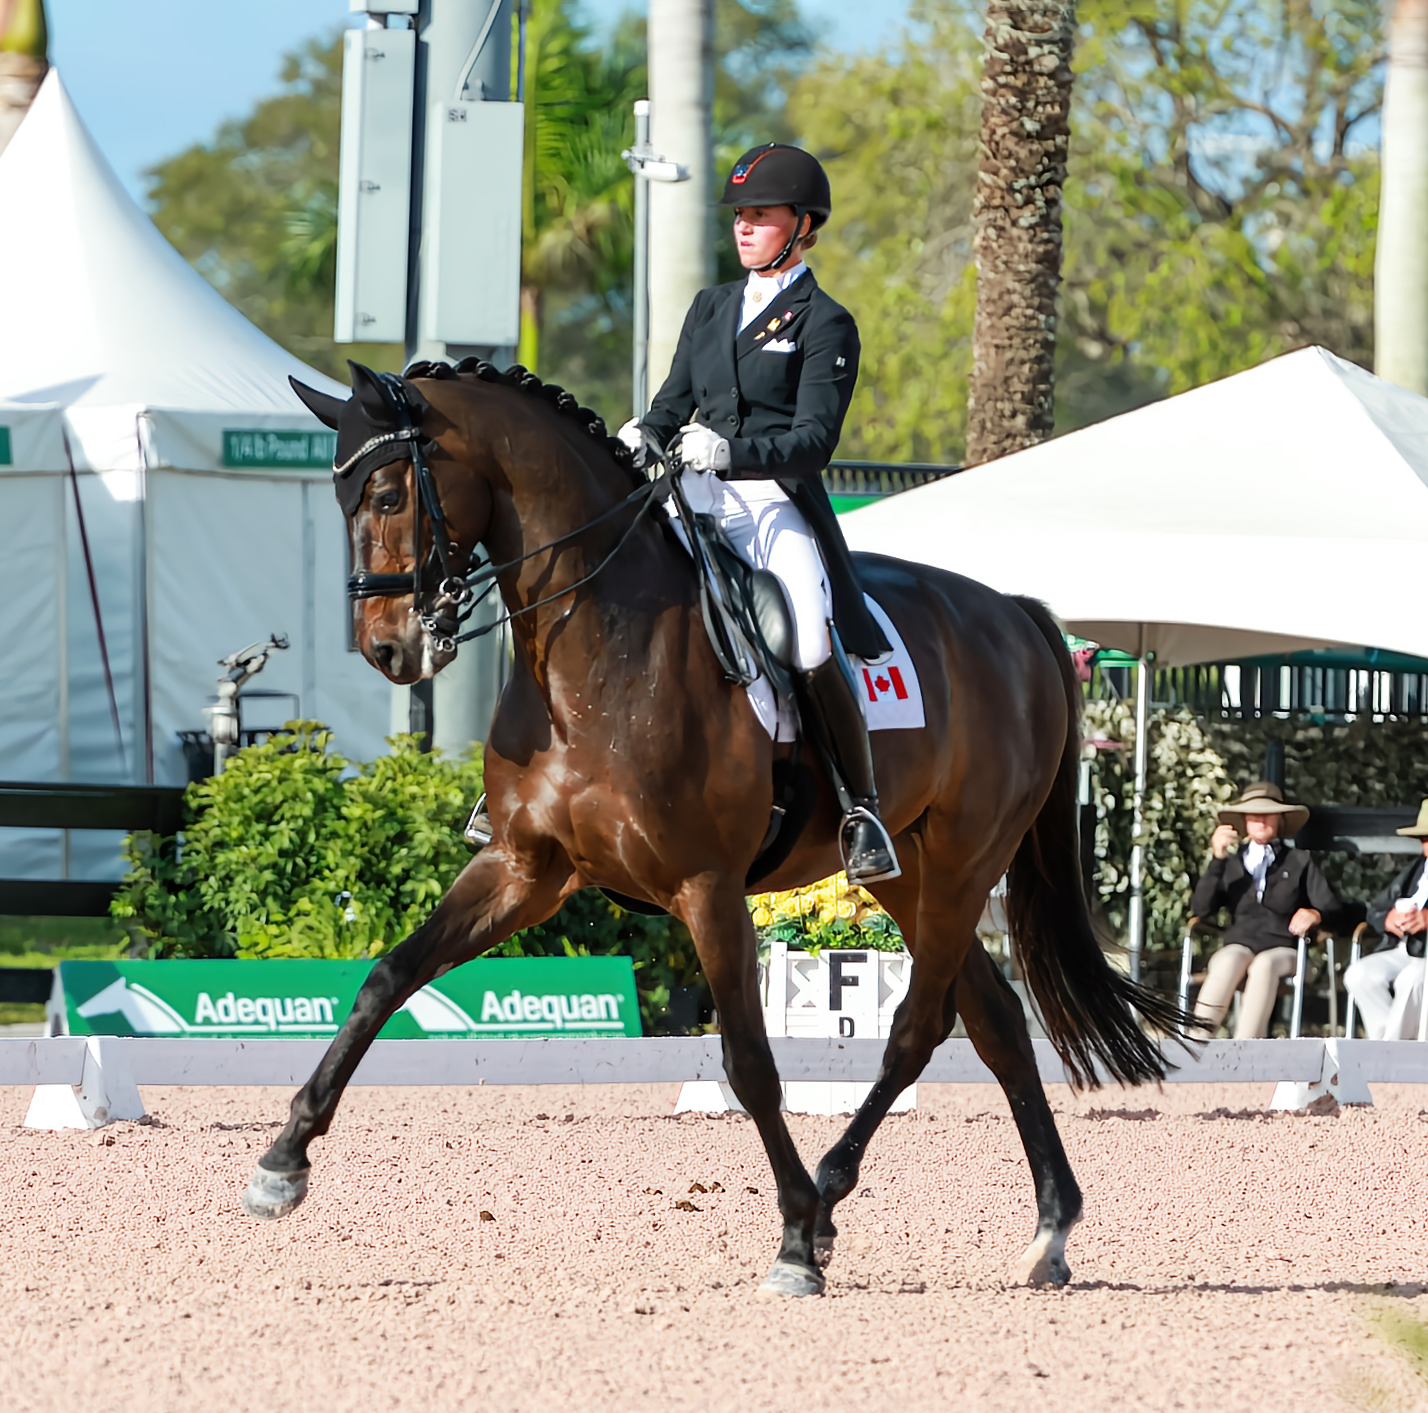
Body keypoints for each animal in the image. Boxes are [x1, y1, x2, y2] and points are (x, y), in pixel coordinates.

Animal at [245, 358, 1182, 1297]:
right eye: (343, 498)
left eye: (389, 494)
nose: (388, 650)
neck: (596, 651)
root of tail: (1015, 614)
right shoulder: (523, 868)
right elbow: (388, 976)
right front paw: (282, 1162)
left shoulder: (707, 887)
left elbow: (750, 1063)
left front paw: (794, 1240)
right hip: (911, 872)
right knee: (995, 1021)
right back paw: (1048, 1226)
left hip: (962, 862)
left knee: (919, 1029)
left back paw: (834, 1200)